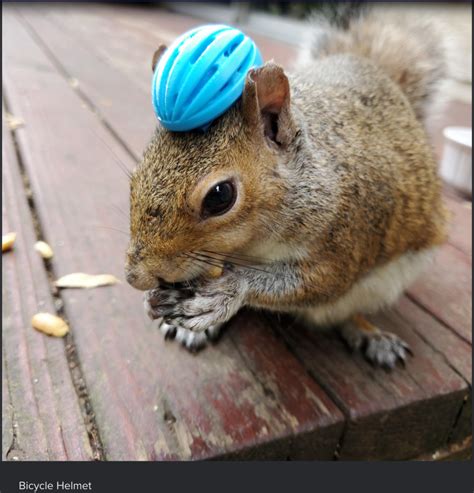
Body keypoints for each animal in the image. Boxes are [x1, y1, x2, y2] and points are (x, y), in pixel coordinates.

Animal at [125, 3, 448, 366]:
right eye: (137, 174)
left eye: (220, 196)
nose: (136, 277)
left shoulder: (350, 235)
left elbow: (322, 283)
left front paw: (228, 291)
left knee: (347, 312)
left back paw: (371, 334)